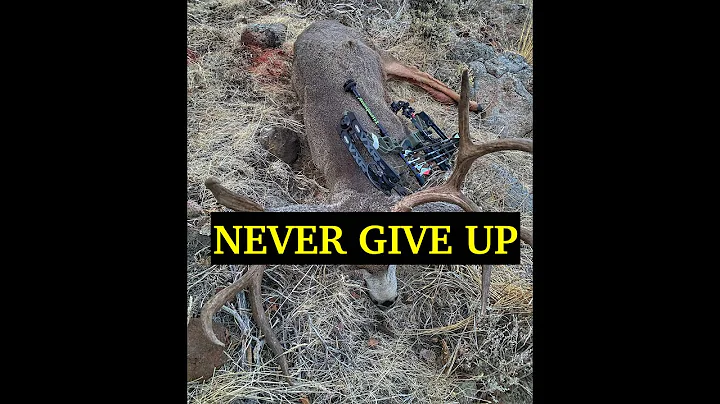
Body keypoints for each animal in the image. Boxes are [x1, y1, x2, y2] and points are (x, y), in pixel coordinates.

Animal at [189, 20, 533, 384]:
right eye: (351, 266)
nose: (387, 301)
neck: (363, 175)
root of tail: (318, 23)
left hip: (378, 51)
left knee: (418, 73)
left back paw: (474, 104)